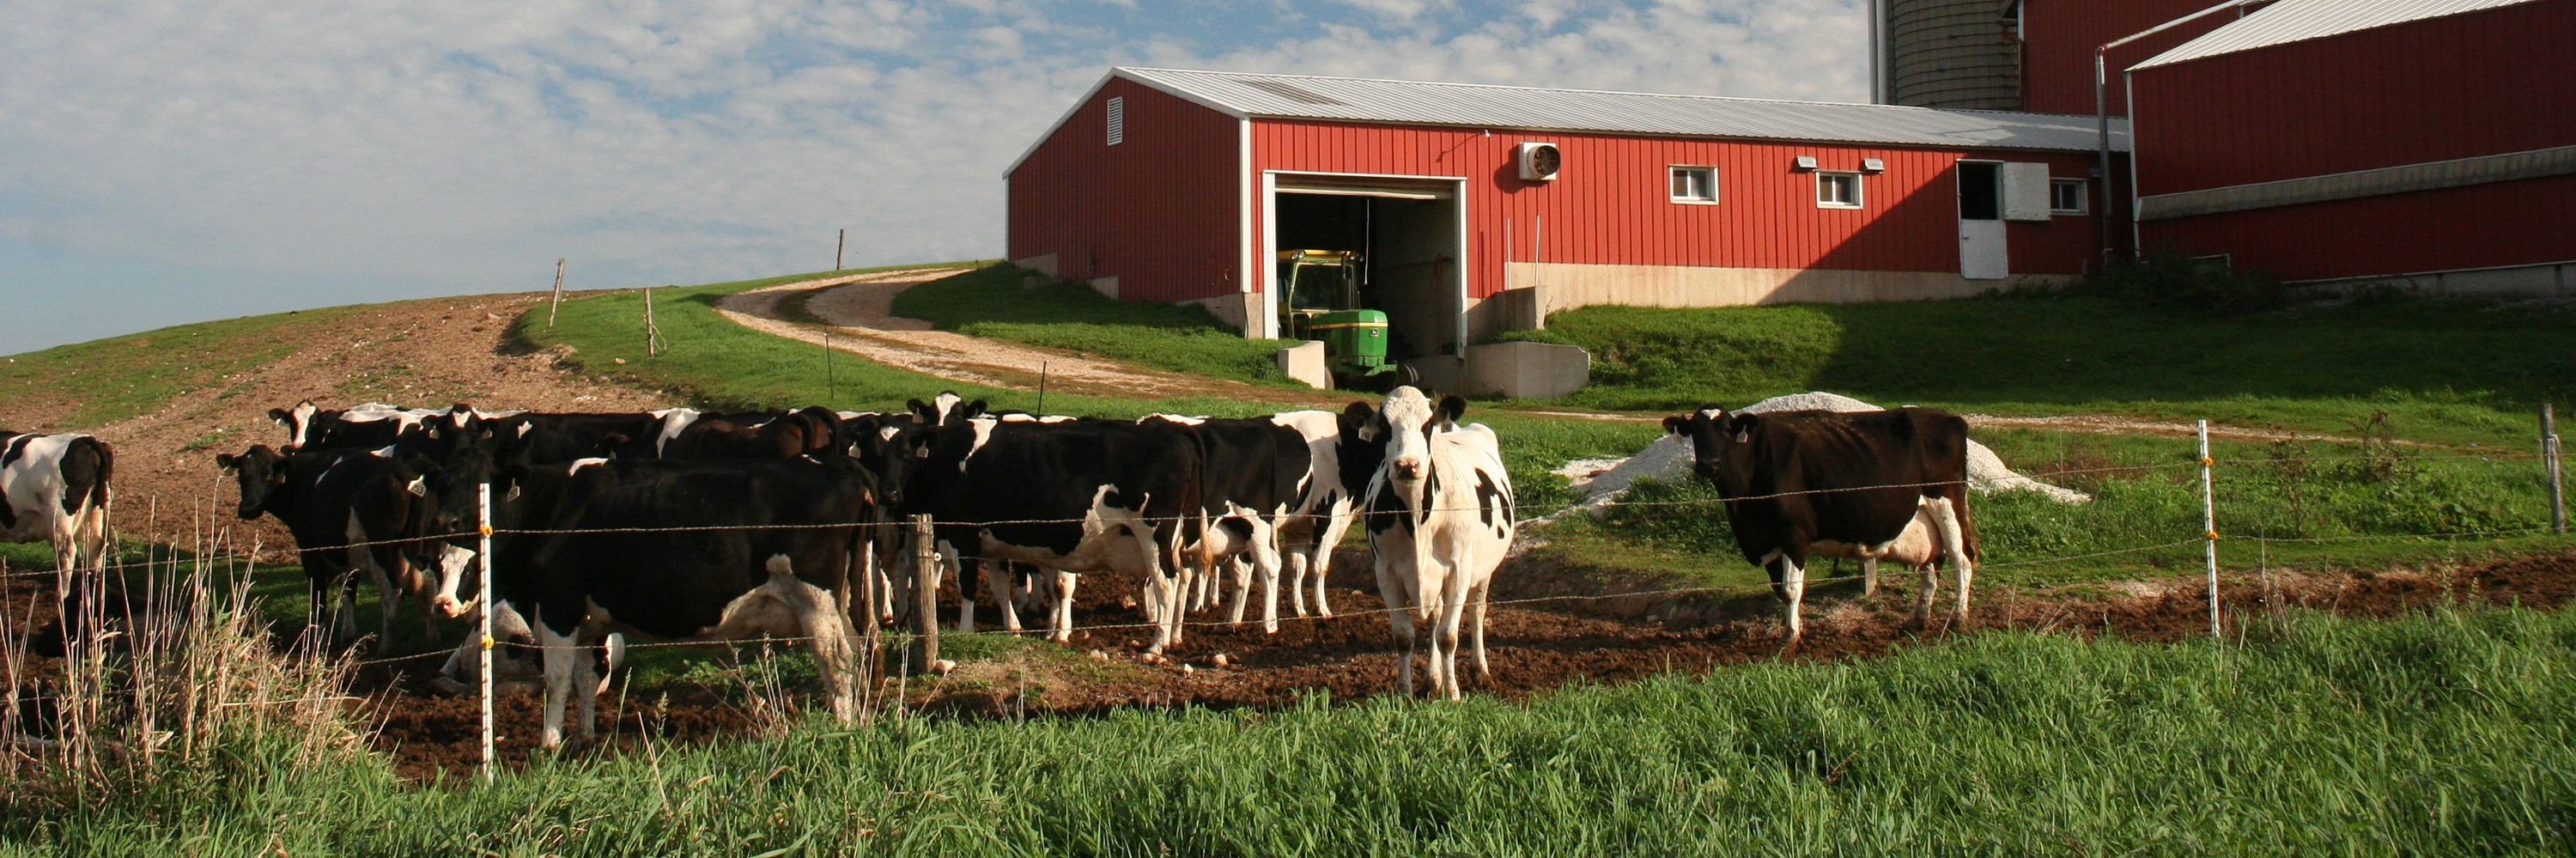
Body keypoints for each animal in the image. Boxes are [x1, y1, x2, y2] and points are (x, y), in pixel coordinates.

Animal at [1360, 392, 1515, 701]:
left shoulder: (1459, 569)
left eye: (1428, 423)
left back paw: (1479, 671)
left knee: (1476, 611)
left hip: (1483, 569)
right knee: (1434, 617)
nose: (1407, 465)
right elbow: (1404, 636)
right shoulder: (1385, 572)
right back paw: (1432, 681)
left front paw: (1452, 693)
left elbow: (1448, 636)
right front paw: (1405, 692)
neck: (1417, 518)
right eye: (1385, 425)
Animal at [1659, 407, 1978, 642]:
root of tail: (1951, 418)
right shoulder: (1768, 540)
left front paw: (1791, 637)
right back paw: (1918, 620)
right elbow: (1780, 590)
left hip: (1947, 503)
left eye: (1726, 431)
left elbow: (1792, 590)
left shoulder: (1795, 536)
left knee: (1962, 560)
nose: (1708, 465)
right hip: (1925, 519)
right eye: (1694, 433)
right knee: (1931, 568)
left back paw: (1959, 620)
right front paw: (1791, 630)